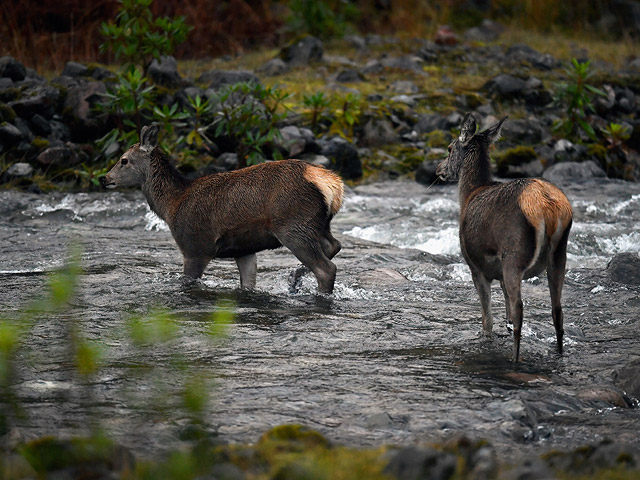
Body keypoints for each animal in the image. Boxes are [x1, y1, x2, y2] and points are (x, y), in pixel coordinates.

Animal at [104, 124, 344, 294]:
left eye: (124, 160)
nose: (105, 178)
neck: (171, 205)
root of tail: (332, 183)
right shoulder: (244, 250)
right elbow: (247, 284)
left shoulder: (194, 246)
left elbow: (187, 281)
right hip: (319, 224)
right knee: (334, 245)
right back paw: (294, 279)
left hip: (293, 225)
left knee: (326, 268)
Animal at [436, 113, 576, 360]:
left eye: (449, 148)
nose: (438, 169)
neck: (469, 194)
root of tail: (548, 207)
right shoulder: (498, 273)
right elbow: (506, 315)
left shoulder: (476, 266)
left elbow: (488, 320)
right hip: (559, 253)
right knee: (557, 310)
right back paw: (558, 354)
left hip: (514, 253)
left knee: (520, 309)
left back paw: (515, 358)